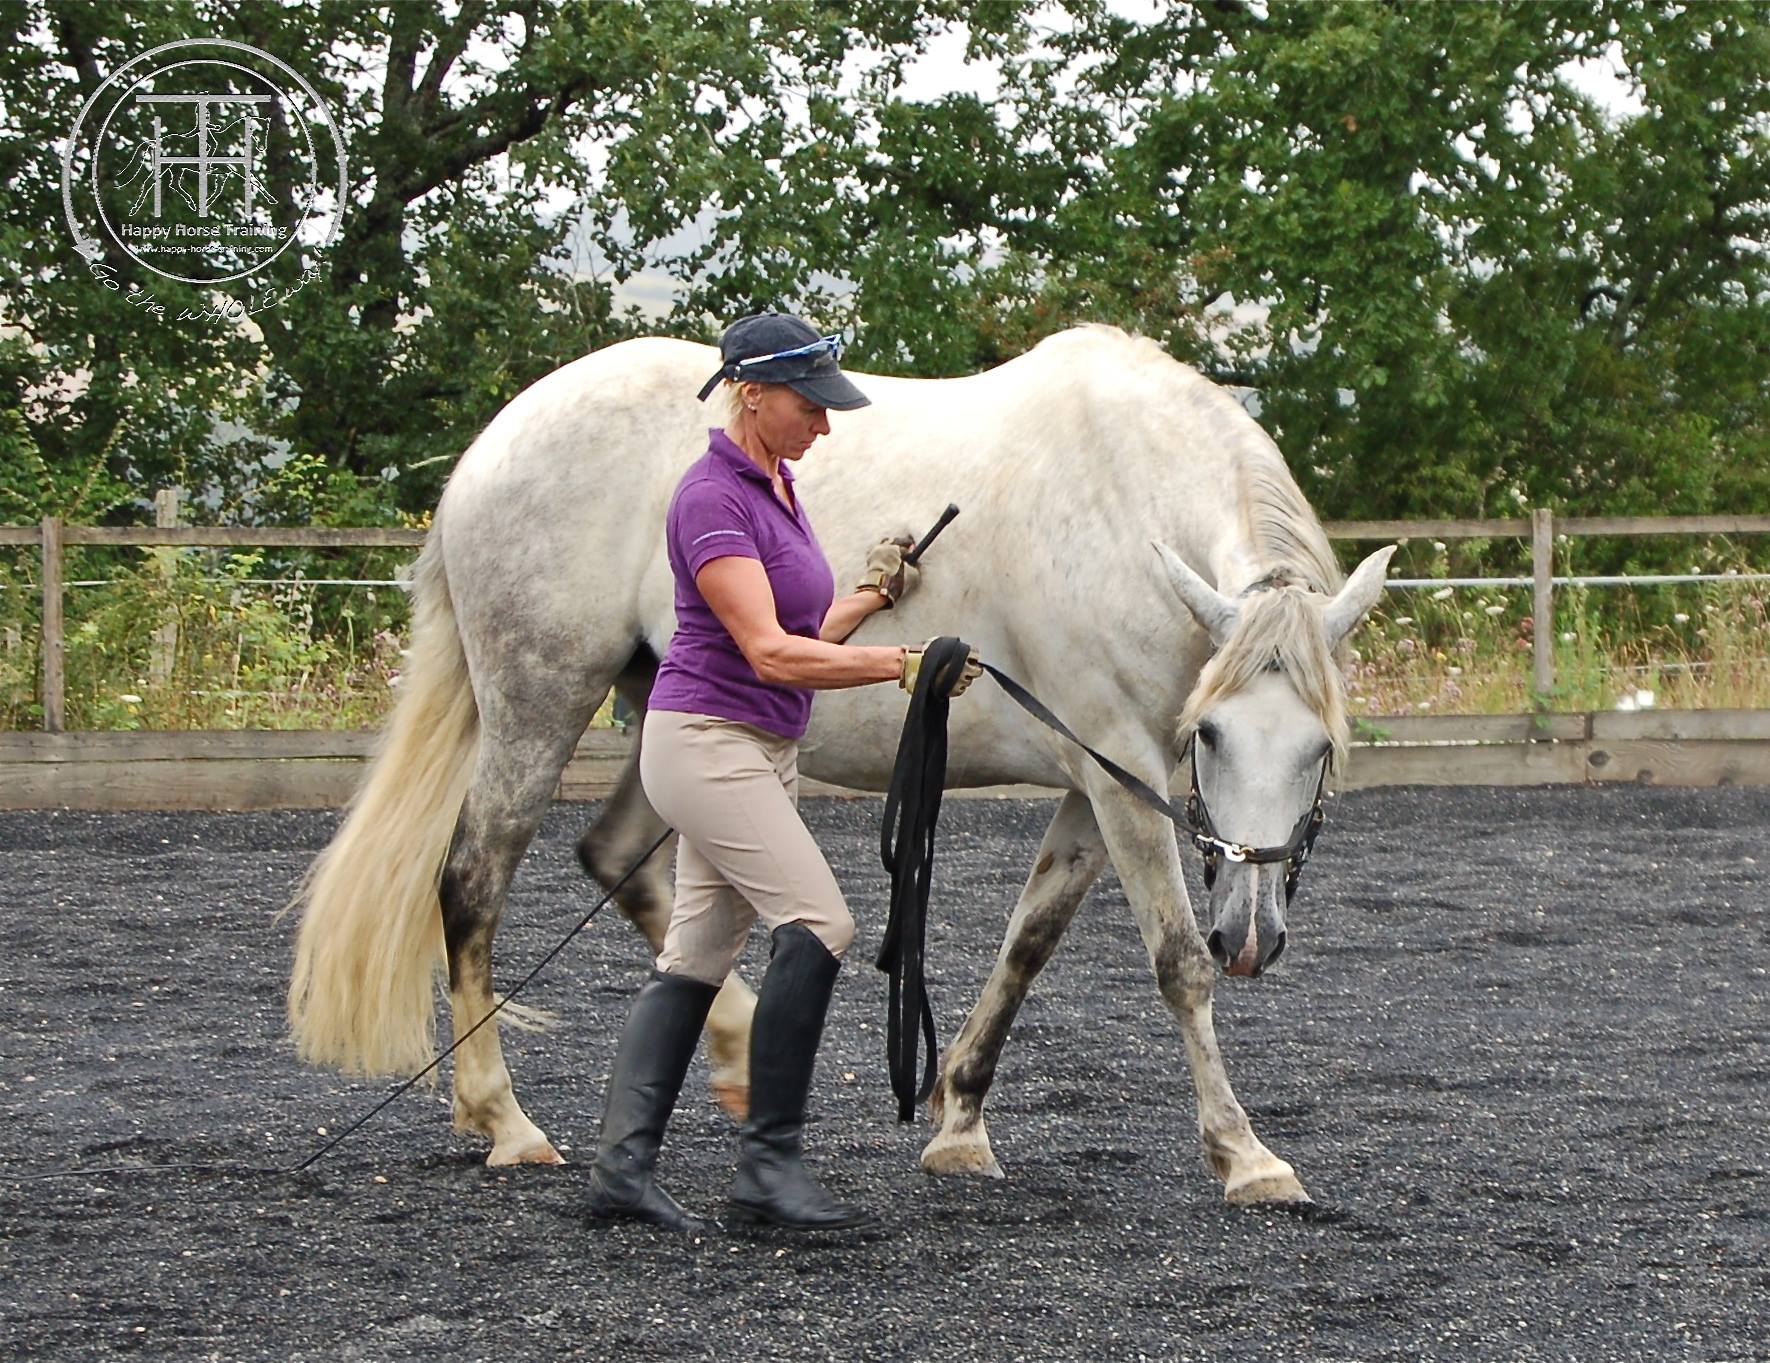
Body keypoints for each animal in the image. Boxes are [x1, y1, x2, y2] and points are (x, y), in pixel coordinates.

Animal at [286, 323, 1394, 1204]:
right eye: (1213, 736)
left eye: (1321, 748)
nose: (1251, 936)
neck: (1128, 499)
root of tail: (488, 449)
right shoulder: (1119, 767)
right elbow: (1173, 962)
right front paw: (1246, 1156)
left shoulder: (1103, 777)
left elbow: (1027, 942)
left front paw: (957, 1120)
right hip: (537, 702)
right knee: (472, 881)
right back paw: (505, 1120)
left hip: (664, 713)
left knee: (618, 861)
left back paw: (737, 1055)